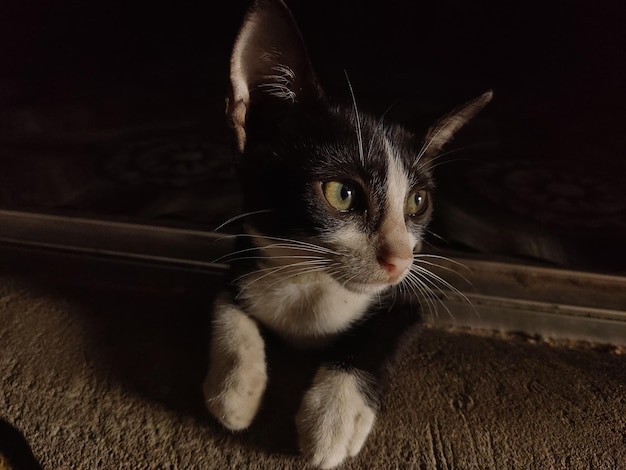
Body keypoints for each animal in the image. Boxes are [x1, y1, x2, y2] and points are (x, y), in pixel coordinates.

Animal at [202, 1, 490, 468]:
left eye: (417, 202)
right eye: (342, 193)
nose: (399, 260)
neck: (308, 280)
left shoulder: (413, 299)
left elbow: (375, 337)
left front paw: (334, 416)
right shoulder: (245, 245)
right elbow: (228, 303)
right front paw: (235, 387)